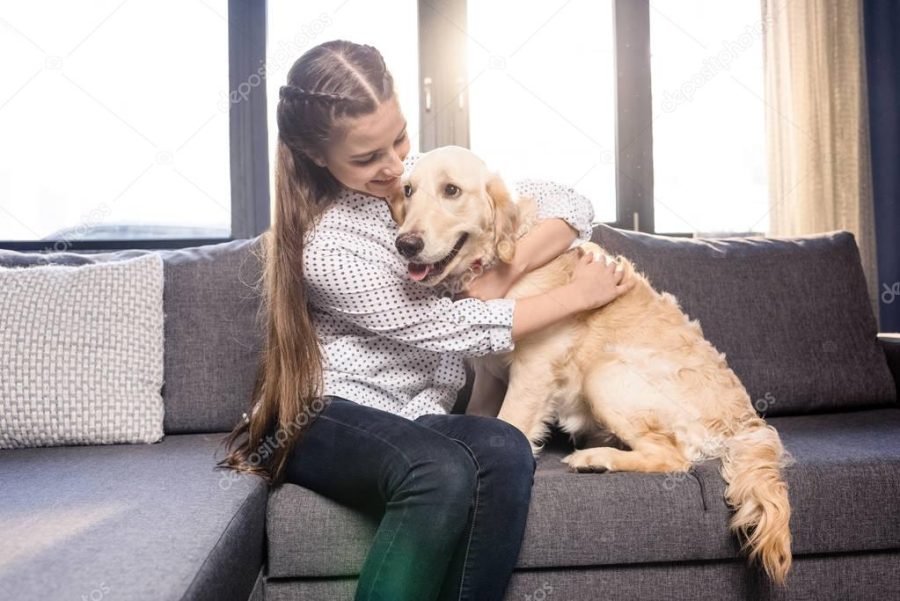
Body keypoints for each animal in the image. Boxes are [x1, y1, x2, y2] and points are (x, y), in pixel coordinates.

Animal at [388, 144, 796, 580]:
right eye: (408, 190)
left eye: (451, 190)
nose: (405, 244)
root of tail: (747, 423)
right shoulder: (488, 374)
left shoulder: (534, 366)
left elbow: (510, 425)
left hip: (605, 374)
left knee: (673, 458)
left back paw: (596, 459)